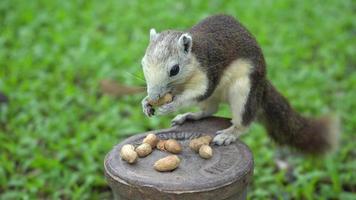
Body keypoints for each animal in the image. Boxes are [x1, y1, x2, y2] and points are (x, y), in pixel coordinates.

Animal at [140, 14, 338, 155]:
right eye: (143, 63)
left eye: (174, 69)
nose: (154, 96)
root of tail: (262, 84)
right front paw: (146, 103)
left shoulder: (208, 73)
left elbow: (200, 92)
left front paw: (171, 105)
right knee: (210, 110)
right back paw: (189, 116)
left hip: (244, 91)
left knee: (244, 121)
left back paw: (229, 133)